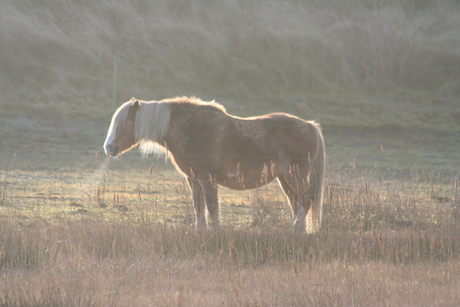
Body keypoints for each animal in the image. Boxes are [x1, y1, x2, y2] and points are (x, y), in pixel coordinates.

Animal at [104, 96, 328, 233]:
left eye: (125, 123)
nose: (109, 148)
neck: (193, 130)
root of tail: (310, 126)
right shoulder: (193, 179)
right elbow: (199, 207)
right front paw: (200, 231)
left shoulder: (207, 178)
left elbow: (212, 207)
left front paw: (215, 232)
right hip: (284, 178)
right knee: (296, 202)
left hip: (295, 175)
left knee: (306, 199)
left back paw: (296, 227)